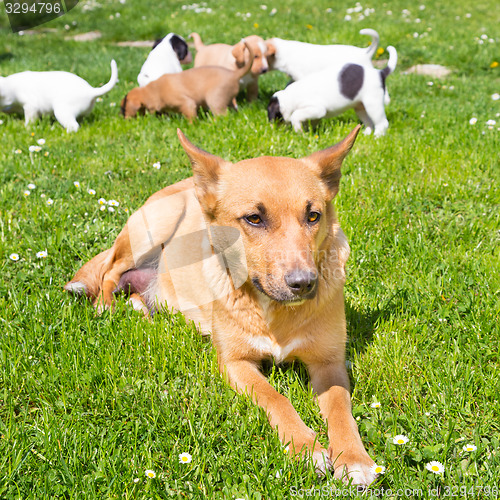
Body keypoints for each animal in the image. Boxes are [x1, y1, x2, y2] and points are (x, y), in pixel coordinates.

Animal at [67, 126, 378, 488]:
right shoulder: (235, 362)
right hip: (153, 226)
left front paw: (355, 457)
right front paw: (304, 446)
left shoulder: (329, 362)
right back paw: (105, 307)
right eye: (254, 218)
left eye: (313, 215)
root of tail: (188, 183)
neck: (272, 310)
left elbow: (341, 408)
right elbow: (275, 397)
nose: (305, 283)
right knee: (109, 271)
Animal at [121, 40, 254, 120]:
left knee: (222, 115)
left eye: (123, 107)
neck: (152, 90)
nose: (122, 117)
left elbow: (191, 118)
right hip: (226, 99)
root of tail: (234, 74)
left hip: (215, 100)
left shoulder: (187, 103)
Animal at [270, 46, 398, 136]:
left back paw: (377, 136)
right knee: (369, 122)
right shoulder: (315, 114)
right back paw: (366, 133)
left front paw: (299, 131)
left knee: (382, 122)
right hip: (360, 107)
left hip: (373, 104)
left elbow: (296, 116)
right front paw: (309, 131)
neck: (288, 97)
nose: (274, 129)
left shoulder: (317, 109)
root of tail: (380, 73)